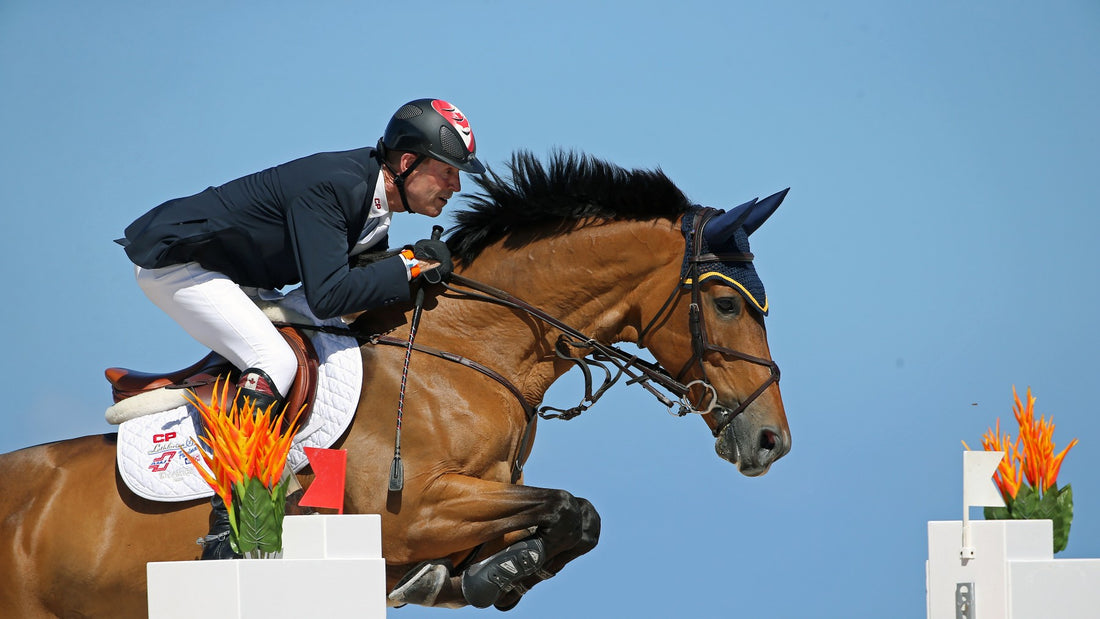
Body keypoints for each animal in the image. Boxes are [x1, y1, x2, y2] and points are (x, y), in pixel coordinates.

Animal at [0, 148, 792, 615]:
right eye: (725, 304)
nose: (771, 441)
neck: (466, 354)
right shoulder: (412, 512)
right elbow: (573, 506)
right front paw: (496, 571)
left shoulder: (474, 502)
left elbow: (573, 517)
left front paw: (490, 574)